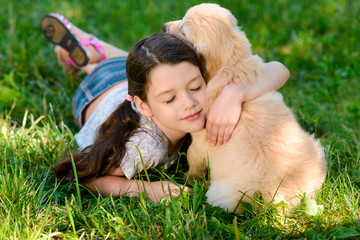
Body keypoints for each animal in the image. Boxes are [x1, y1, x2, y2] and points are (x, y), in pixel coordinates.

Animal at [165, 3, 328, 214]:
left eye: (183, 30)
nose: (164, 26)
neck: (232, 65)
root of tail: (273, 197)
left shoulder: (199, 142)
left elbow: (193, 161)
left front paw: (187, 178)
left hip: (223, 194)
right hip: (317, 149)